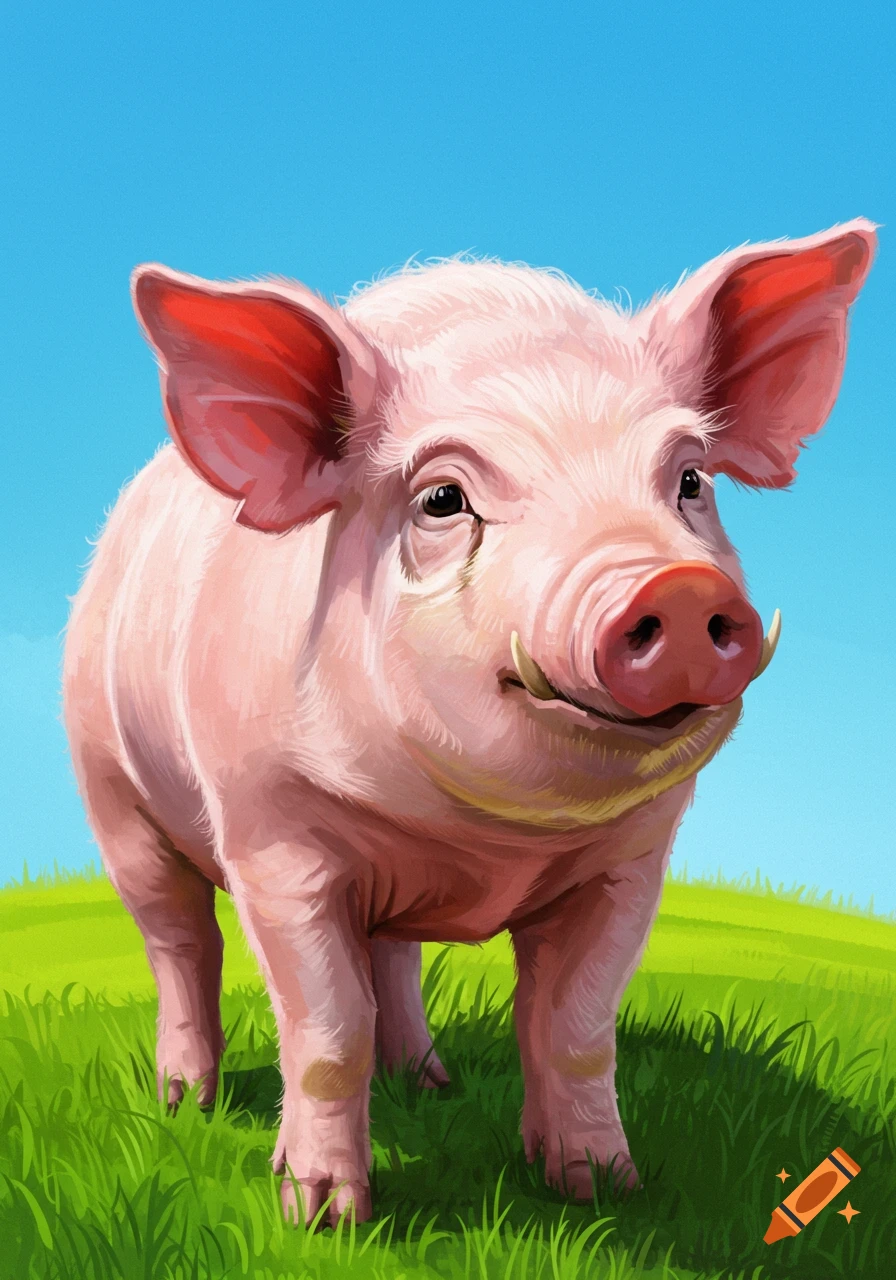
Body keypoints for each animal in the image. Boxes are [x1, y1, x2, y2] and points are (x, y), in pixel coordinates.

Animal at [63, 221, 876, 1225]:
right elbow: (326, 1027)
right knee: (178, 937)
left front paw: (602, 1192)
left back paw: (431, 1082)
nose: (680, 588)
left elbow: (574, 1025)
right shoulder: (271, 835)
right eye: (443, 500)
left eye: (688, 479)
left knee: (393, 955)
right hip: (111, 788)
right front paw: (323, 1217)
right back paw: (188, 1101)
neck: (488, 839)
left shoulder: (631, 860)